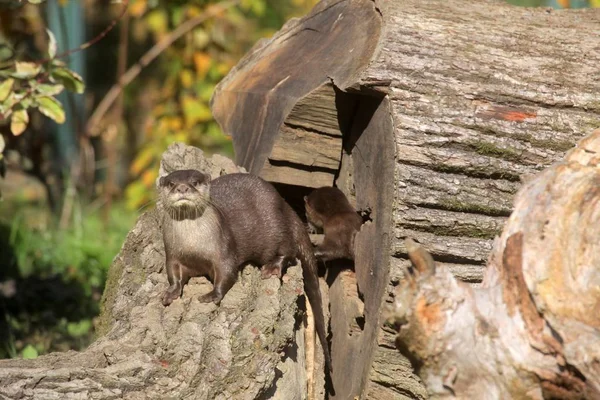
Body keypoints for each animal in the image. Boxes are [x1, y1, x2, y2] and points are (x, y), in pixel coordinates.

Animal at [158, 170, 332, 372]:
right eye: (171, 183)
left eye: (195, 182)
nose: (182, 188)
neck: (193, 245)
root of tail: (284, 205)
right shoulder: (172, 255)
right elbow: (173, 275)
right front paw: (170, 293)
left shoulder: (223, 251)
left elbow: (227, 273)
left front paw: (212, 295)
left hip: (275, 229)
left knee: (289, 251)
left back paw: (272, 266)